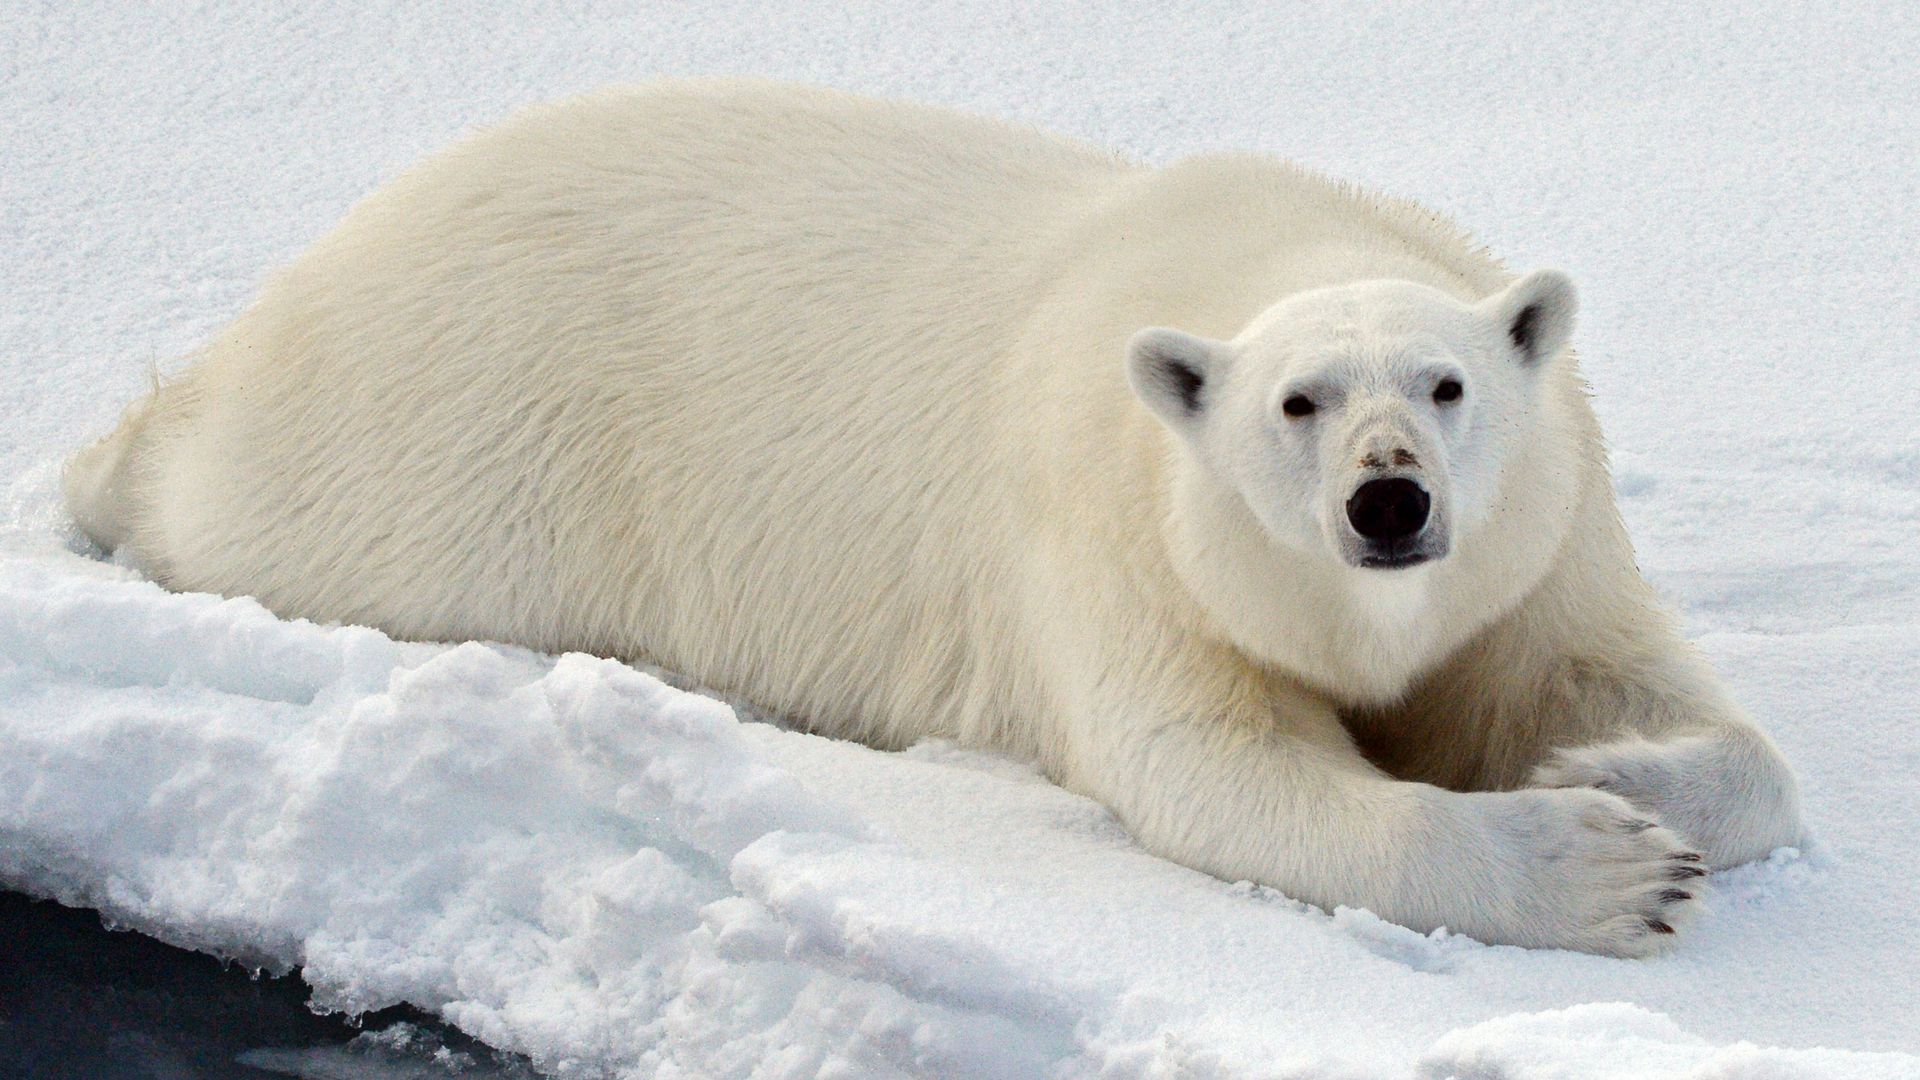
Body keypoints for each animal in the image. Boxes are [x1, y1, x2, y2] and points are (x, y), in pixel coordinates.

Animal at [64, 79, 1802, 956]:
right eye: (1295, 404)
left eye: (1446, 385)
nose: (1388, 503)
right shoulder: (1111, 540)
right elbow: (1216, 772)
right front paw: (1603, 868)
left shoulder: (1541, 545)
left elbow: (1644, 696)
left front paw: (1608, 768)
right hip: (456, 450)